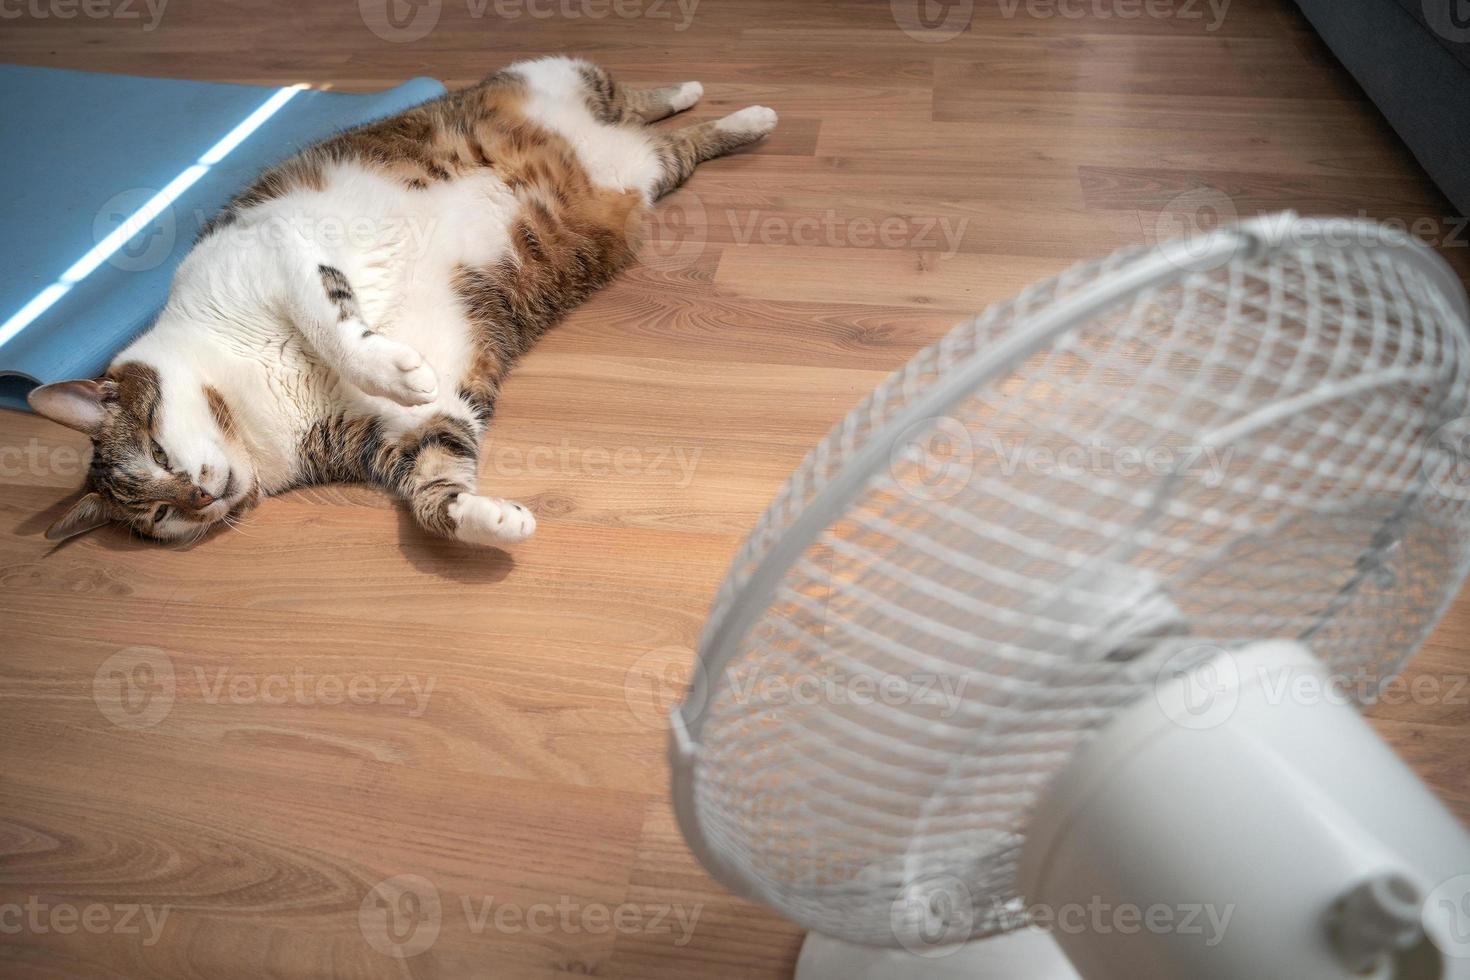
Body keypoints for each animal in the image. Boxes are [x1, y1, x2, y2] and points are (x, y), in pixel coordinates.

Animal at [28, 57, 776, 549]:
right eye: (159, 516)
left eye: (158, 452)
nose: (201, 497)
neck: (253, 393)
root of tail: (608, 138)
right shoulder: (396, 431)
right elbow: (435, 479)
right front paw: (489, 520)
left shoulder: (272, 252)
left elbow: (333, 324)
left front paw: (395, 366)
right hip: (653, 168)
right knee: (678, 140)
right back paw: (729, 115)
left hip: (555, 75)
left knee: (637, 96)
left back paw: (730, 102)